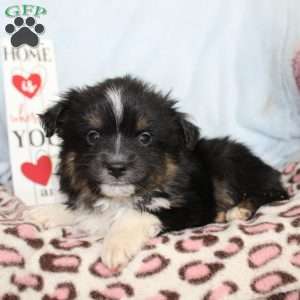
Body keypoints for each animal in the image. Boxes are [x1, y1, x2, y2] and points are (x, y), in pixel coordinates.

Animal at [25, 76, 288, 268]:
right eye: (93, 135)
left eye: (145, 138)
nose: (117, 167)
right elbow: (81, 209)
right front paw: (46, 212)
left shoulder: (192, 206)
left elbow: (140, 212)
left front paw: (115, 245)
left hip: (227, 159)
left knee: (273, 190)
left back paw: (238, 210)